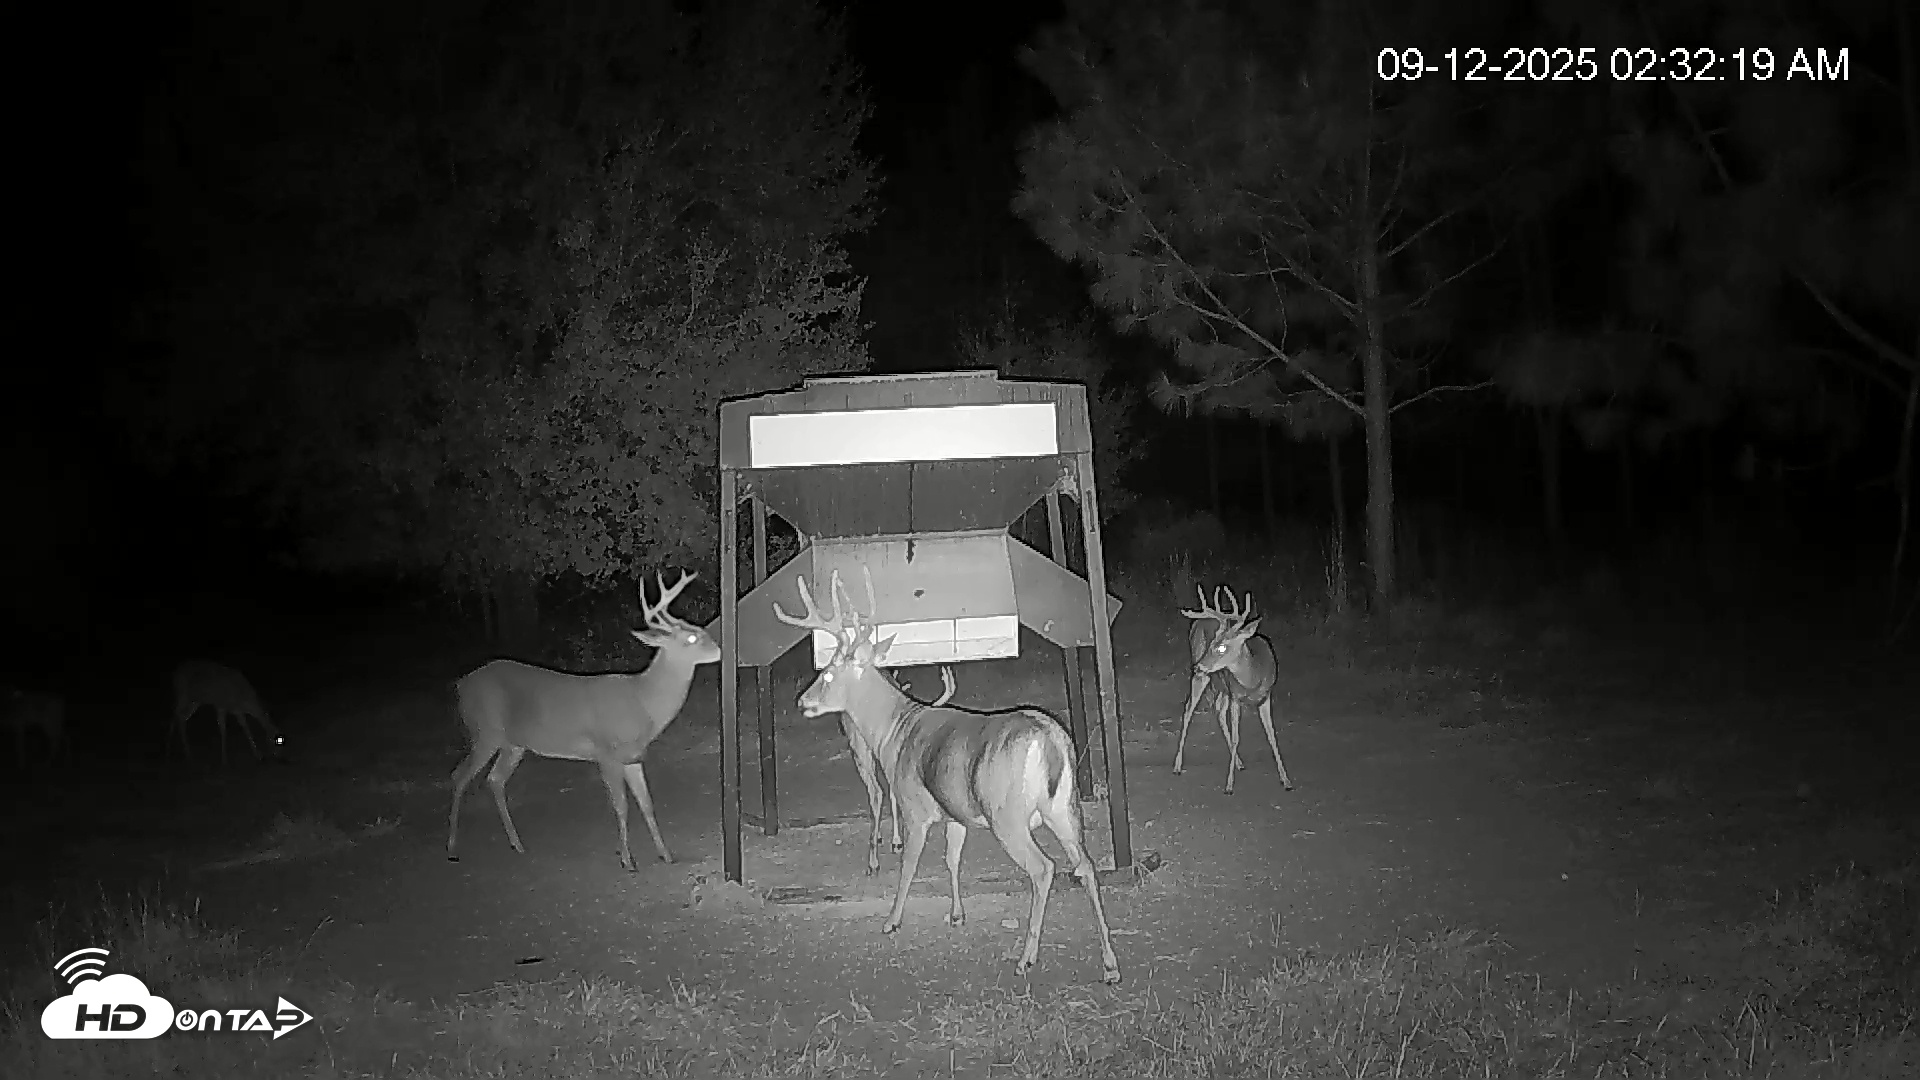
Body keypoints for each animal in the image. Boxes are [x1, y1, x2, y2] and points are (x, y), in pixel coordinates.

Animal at [446, 569, 720, 872]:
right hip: (485, 731)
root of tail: (460, 684)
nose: (719, 649)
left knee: (494, 779)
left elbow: (647, 804)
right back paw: (452, 848)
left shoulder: (633, 756)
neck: (643, 701)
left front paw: (666, 855)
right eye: (691, 638)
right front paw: (627, 860)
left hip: (513, 743)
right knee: (459, 776)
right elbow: (622, 805)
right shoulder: (606, 753)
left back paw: (517, 844)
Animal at [774, 568, 1122, 984]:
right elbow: (952, 858)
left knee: (1044, 869)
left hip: (1008, 817)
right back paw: (1110, 964)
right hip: (1065, 810)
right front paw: (956, 914)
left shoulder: (914, 807)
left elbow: (910, 865)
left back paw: (1027, 957)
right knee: (1086, 866)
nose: (802, 701)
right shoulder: (956, 814)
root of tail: (1051, 741)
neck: (894, 733)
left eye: (826, 675)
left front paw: (892, 920)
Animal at [1174, 586, 1293, 796]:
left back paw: (1238, 762)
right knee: (1189, 709)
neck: (1253, 679)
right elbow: (1237, 738)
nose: (1198, 666)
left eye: (1222, 647)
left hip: (1222, 686)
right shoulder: (1236, 696)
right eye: (1212, 643)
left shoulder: (1266, 696)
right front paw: (1229, 786)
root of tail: (1199, 620)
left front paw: (1286, 780)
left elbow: (1272, 735)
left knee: (1218, 710)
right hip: (1205, 677)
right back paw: (1178, 766)